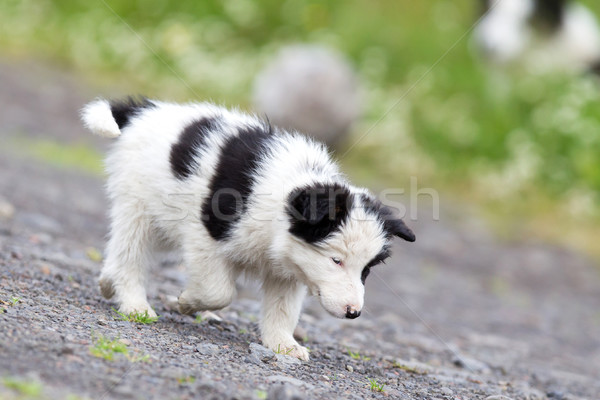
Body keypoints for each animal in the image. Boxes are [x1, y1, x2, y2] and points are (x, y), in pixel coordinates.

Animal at [81, 97, 412, 360]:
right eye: (336, 260)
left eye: (366, 270)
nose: (353, 313)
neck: (284, 197)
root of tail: (143, 111)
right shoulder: (206, 236)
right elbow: (219, 291)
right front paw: (187, 302)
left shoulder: (290, 267)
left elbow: (283, 310)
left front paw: (283, 345)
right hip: (139, 208)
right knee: (131, 254)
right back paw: (135, 305)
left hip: (162, 222)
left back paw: (108, 283)